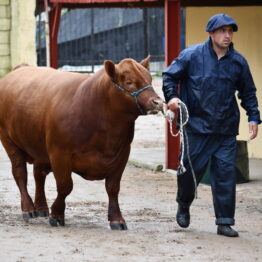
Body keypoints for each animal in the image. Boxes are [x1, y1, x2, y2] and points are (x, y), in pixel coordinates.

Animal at [0, 56, 164, 229]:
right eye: (129, 82)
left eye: (150, 79)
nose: (158, 102)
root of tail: (21, 68)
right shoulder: (59, 153)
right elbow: (65, 186)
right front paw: (56, 215)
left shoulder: (122, 154)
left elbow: (113, 188)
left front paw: (117, 219)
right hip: (10, 142)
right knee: (20, 174)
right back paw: (28, 208)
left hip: (39, 147)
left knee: (39, 175)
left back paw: (41, 207)